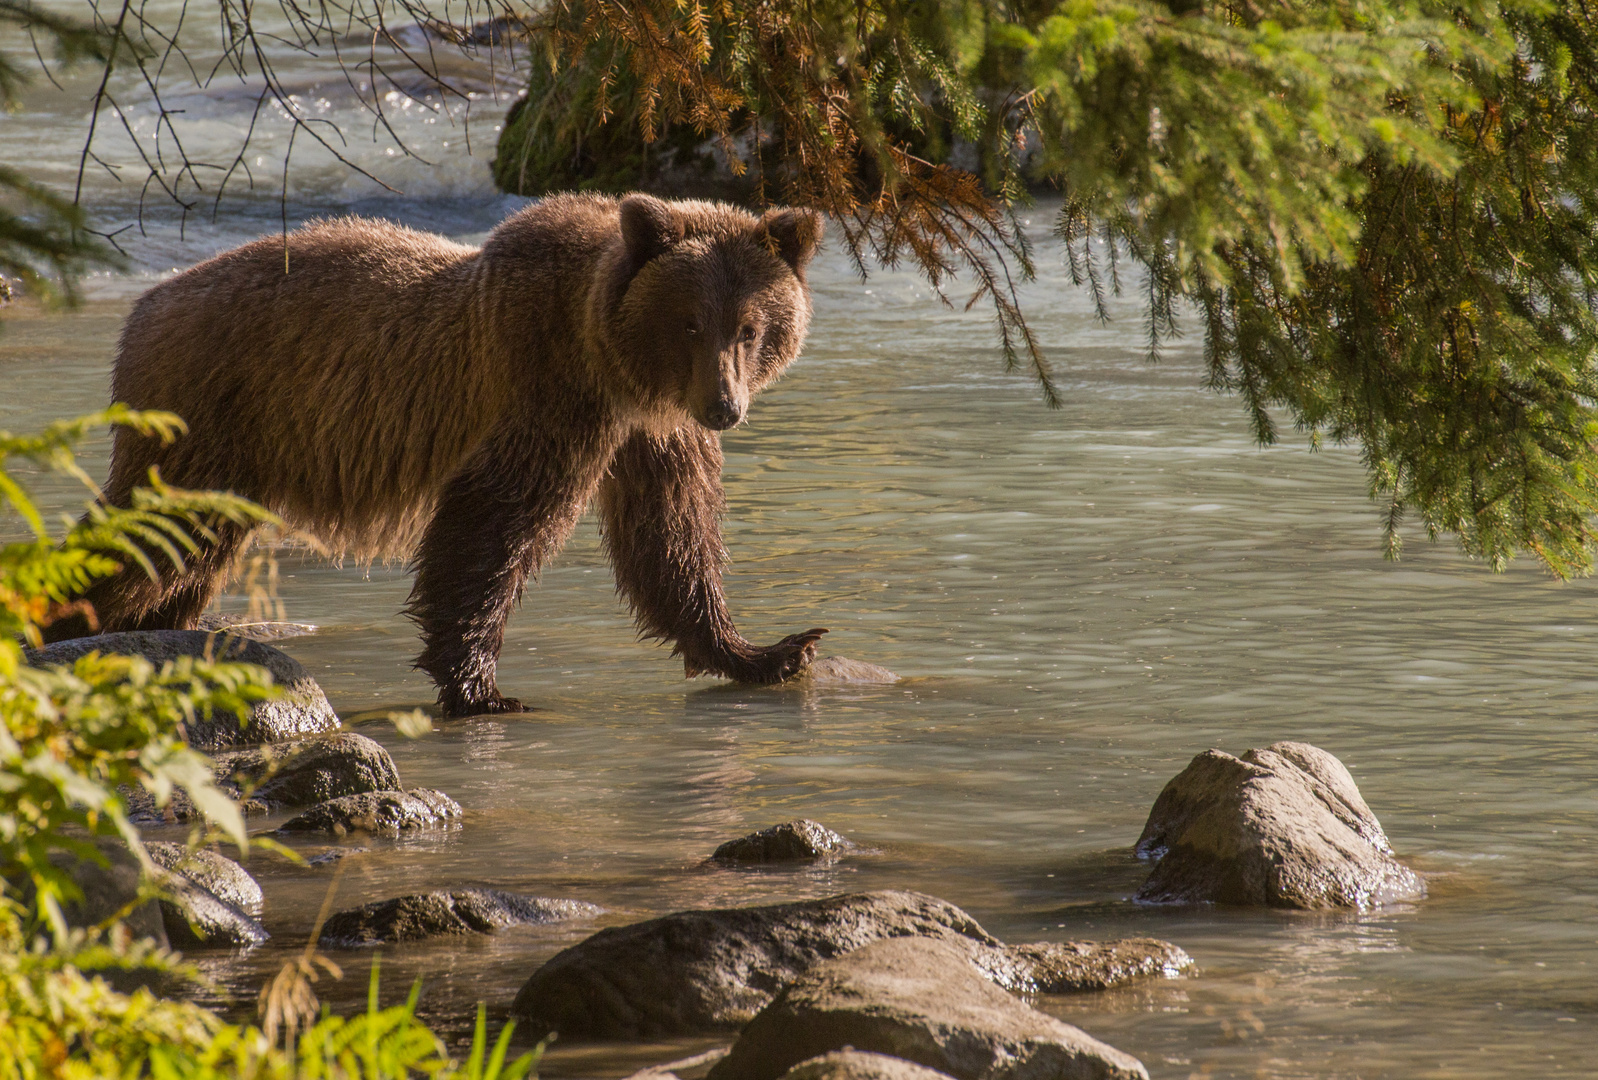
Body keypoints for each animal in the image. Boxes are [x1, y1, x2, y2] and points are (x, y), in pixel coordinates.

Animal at [65, 194, 824, 715]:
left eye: (751, 327)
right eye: (689, 322)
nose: (725, 407)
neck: (616, 365)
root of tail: (144, 306)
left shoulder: (652, 433)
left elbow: (671, 536)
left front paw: (770, 651)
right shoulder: (547, 386)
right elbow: (496, 521)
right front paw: (481, 687)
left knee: (188, 552)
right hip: (209, 411)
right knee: (150, 533)